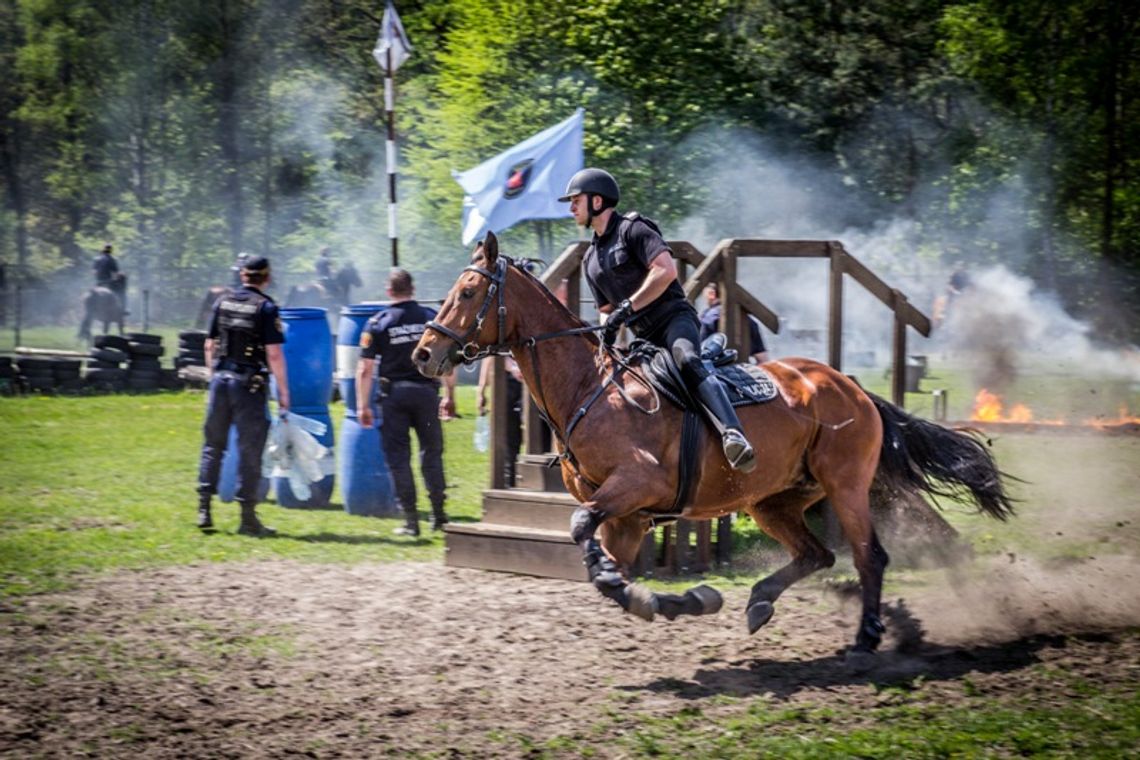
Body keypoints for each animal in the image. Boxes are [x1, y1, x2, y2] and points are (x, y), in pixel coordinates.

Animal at [412, 234, 1016, 660]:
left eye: (468, 293)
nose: (422, 355)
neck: (589, 388)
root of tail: (853, 387)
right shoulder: (626, 517)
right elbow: (609, 571)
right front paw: (674, 600)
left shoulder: (636, 486)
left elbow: (582, 529)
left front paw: (660, 596)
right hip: (773, 501)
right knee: (817, 555)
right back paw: (761, 600)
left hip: (845, 488)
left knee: (869, 556)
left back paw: (866, 636)